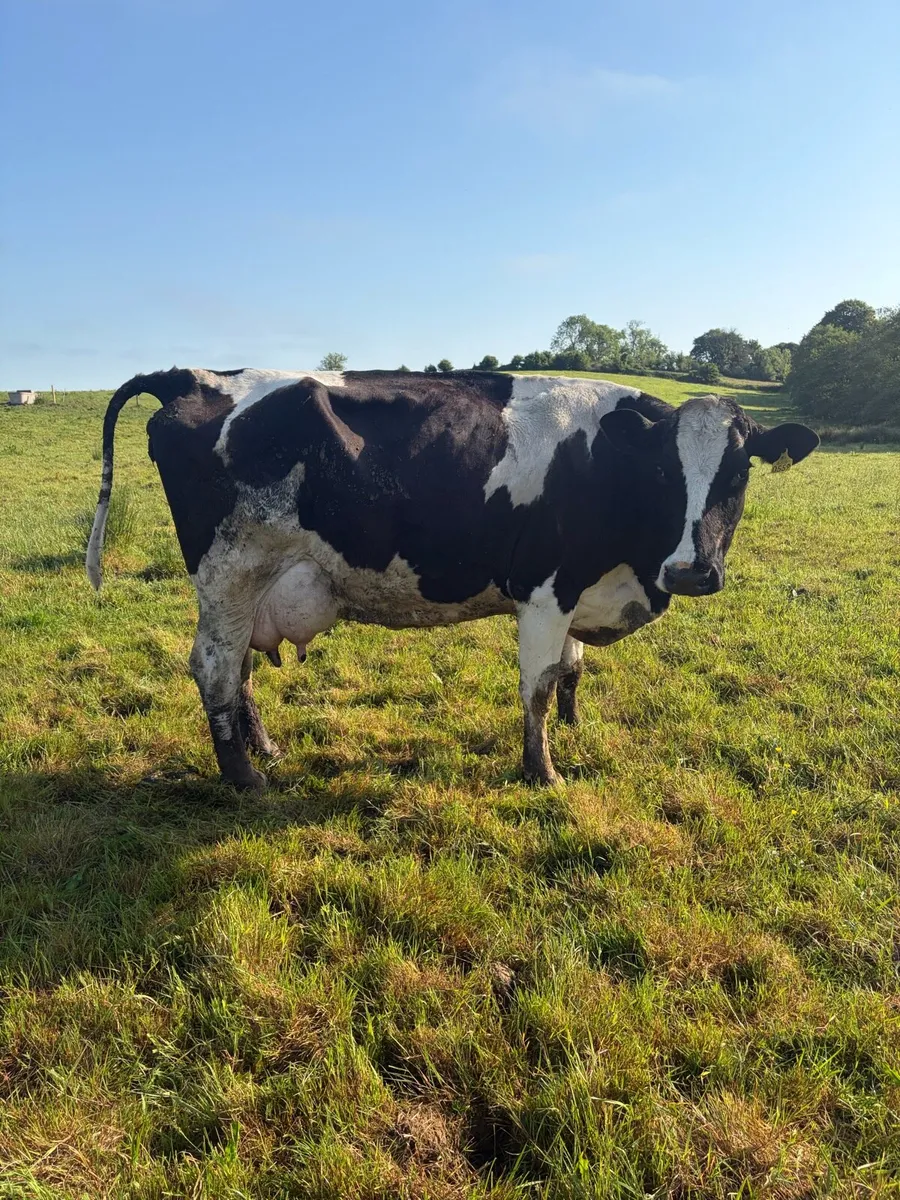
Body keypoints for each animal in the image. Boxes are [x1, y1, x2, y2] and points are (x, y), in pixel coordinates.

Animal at [86, 368, 819, 790]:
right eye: (667, 471)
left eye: (739, 472)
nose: (693, 570)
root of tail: (196, 373)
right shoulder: (545, 588)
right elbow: (539, 687)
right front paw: (542, 772)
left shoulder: (579, 588)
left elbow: (573, 671)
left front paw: (576, 729)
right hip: (230, 573)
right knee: (214, 668)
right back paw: (242, 777)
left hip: (250, 585)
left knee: (237, 668)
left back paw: (262, 748)